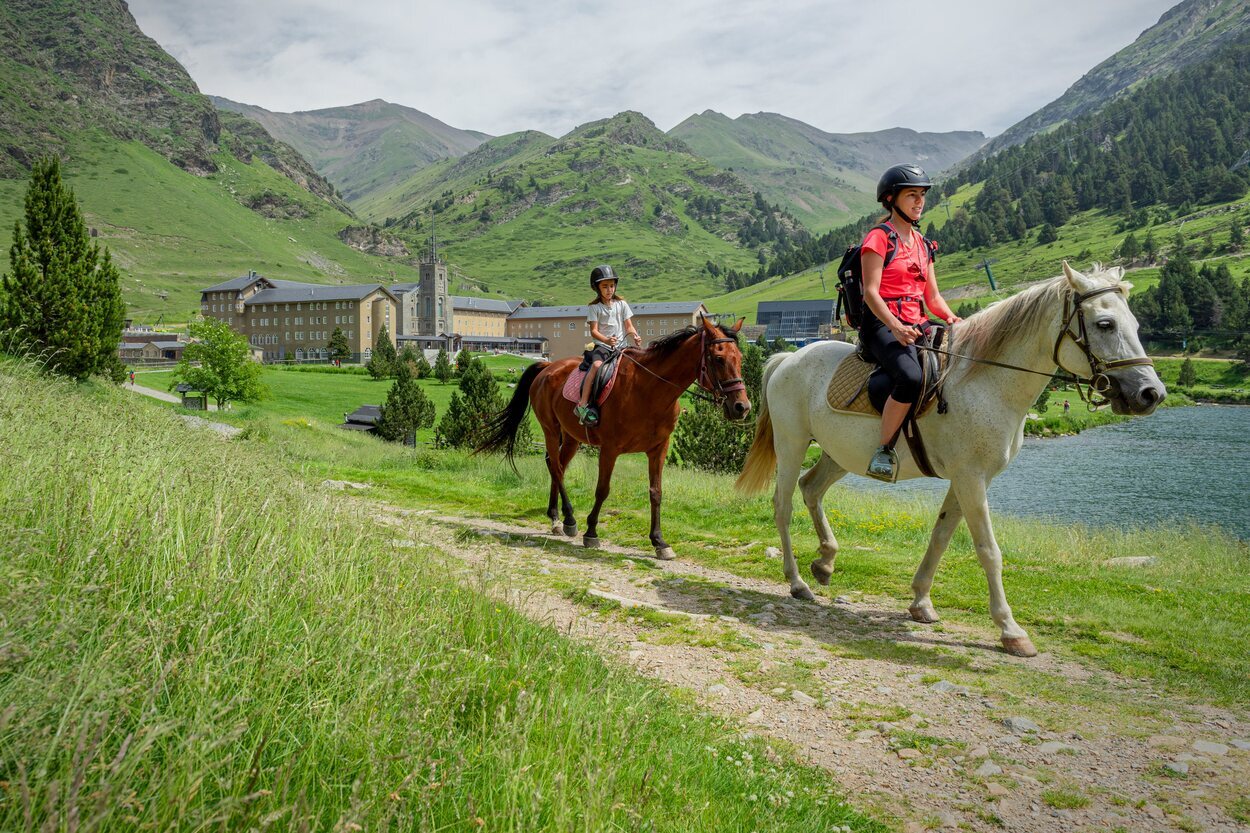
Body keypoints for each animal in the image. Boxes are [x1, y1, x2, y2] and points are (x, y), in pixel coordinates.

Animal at [475, 316, 750, 557]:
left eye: (740, 358)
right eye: (718, 358)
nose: (742, 407)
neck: (650, 390)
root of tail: (548, 367)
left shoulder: (658, 449)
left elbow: (656, 492)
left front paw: (659, 542)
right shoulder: (610, 449)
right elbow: (602, 490)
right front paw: (591, 533)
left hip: (571, 437)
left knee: (557, 465)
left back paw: (555, 517)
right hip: (550, 430)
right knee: (557, 467)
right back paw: (568, 519)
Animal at [735, 262, 1165, 650]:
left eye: (1135, 325)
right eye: (1105, 324)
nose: (1151, 394)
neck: (987, 382)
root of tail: (787, 359)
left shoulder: (968, 478)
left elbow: (941, 535)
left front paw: (921, 602)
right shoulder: (971, 478)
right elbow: (989, 551)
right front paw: (1010, 630)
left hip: (839, 455)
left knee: (811, 489)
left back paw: (825, 562)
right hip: (792, 443)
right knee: (783, 505)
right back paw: (797, 582)